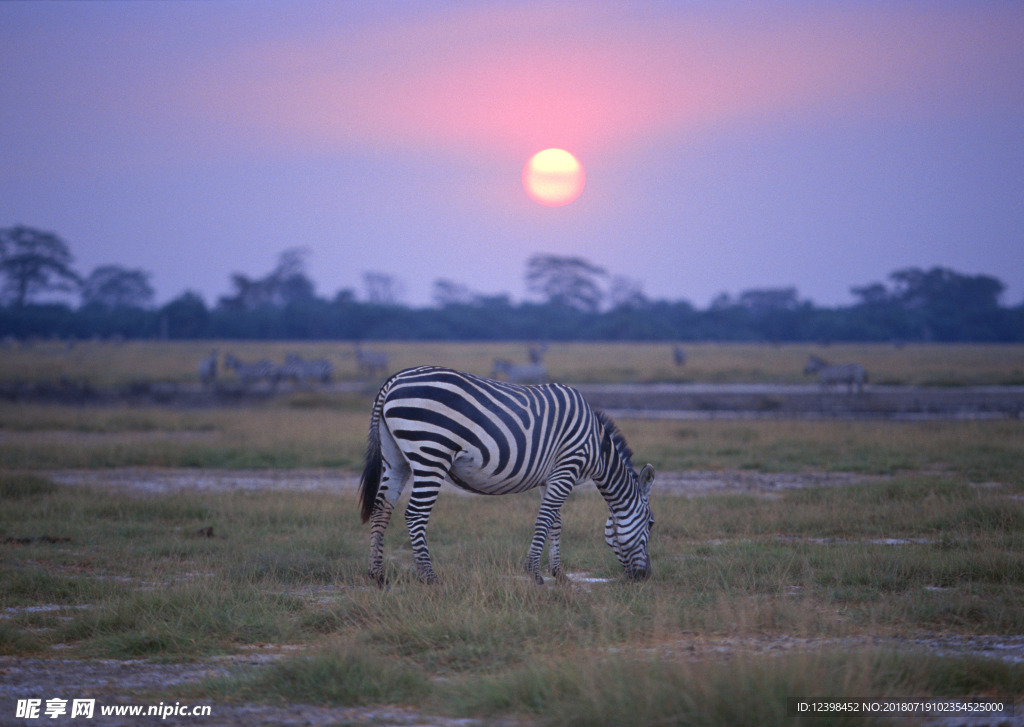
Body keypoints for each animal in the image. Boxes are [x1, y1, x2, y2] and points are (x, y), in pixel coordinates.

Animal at [360, 364, 655, 585]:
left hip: (395, 457)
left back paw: (378, 575)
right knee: (415, 514)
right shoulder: (568, 466)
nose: (645, 577)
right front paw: (535, 574)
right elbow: (545, 519)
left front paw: (559, 574)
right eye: (651, 524)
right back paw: (429, 577)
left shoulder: (552, 476)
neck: (597, 447)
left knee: (381, 508)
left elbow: (556, 522)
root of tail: (393, 380)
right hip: (431, 453)